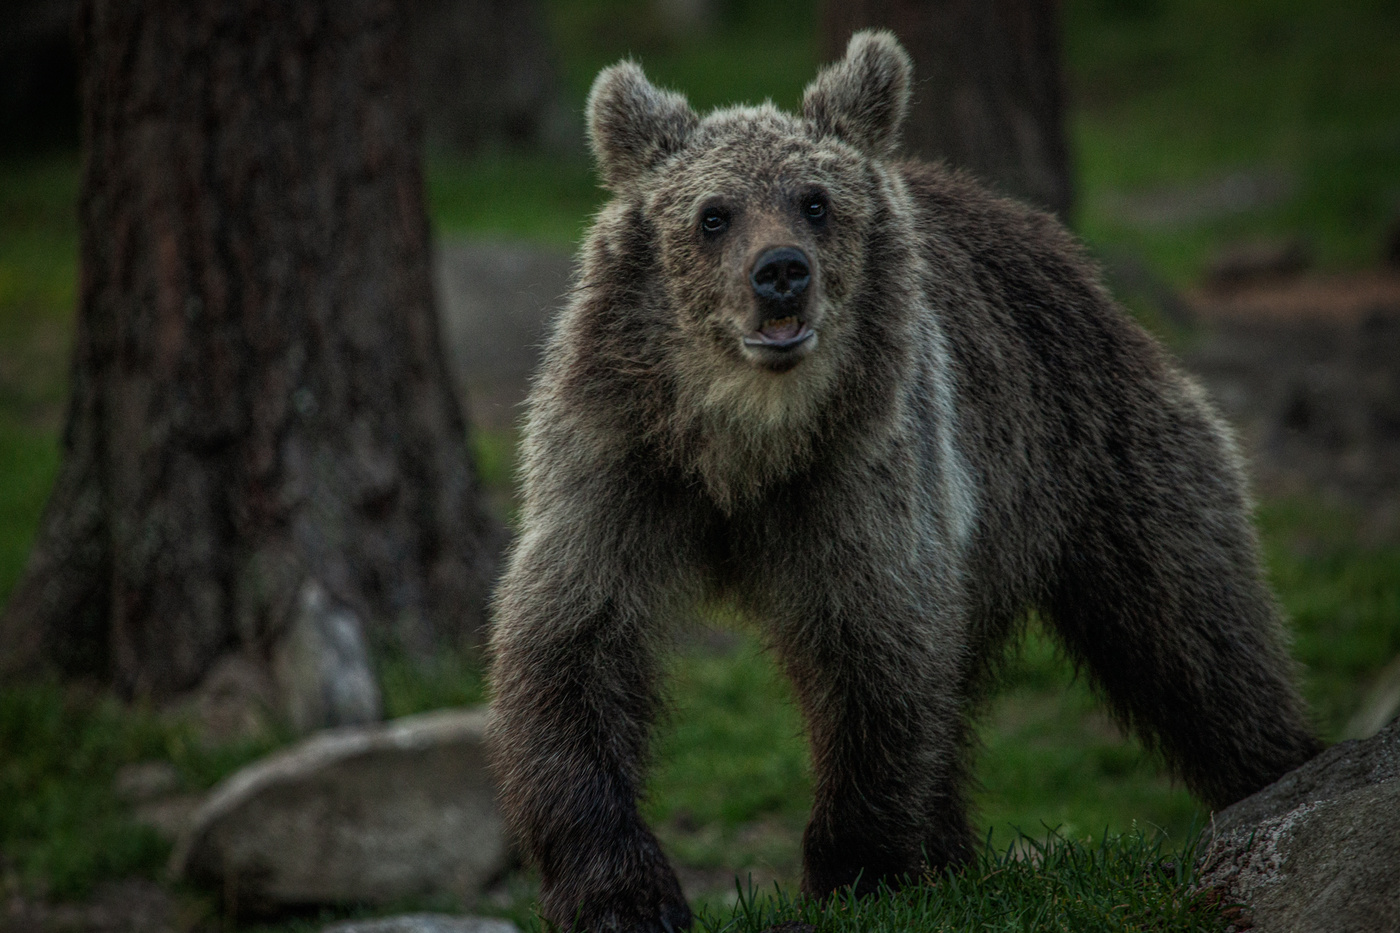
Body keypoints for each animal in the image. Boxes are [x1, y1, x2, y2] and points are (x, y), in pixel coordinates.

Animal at [487, 30, 1316, 930]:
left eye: (815, 201)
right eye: (714, 214)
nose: (781, 270)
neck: (744, 444)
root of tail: (1057, 245)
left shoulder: (863, 477)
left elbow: (877, 652)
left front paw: (858, 866)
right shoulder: (618, 466)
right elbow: (574, 642)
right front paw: (620, 891)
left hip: (1096, 456)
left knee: (1198, 640)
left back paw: (1280, 772)